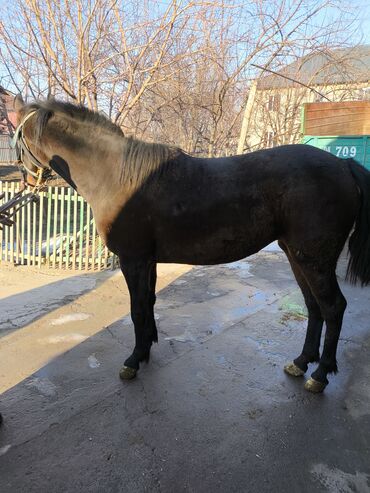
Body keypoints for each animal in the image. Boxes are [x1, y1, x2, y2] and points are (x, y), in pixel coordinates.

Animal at [10, 94, 370, 398]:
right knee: (313, 307)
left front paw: (133, 361)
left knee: (333, 307)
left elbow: (137, 308)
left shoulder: (133, 259)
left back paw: (320, 375)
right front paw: (147, 349)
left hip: (314, 259)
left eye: (18, 138)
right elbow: (149, 303)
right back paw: (301, 362)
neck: (118, 175)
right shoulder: (148, 261)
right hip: (297, 256)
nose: (25, 180)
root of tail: (343, 165)